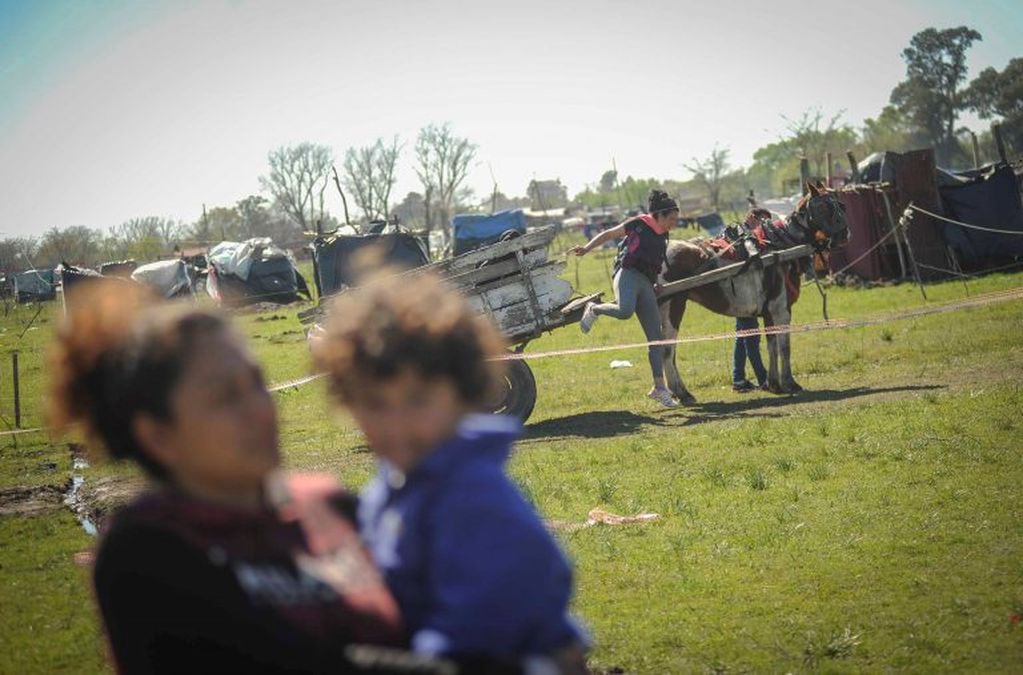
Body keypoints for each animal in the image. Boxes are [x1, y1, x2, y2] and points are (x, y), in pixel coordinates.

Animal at [658, 182, 851, 402]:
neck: (780, 246)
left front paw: (774, 383)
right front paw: (790, 382)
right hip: (673, 306)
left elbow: (772, 346)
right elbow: (784, 347)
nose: (844, 234)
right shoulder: (781, 310)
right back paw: (681, 392)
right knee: (667, 349)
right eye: (823, 207)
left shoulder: (769, 313)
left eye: (840, 205)